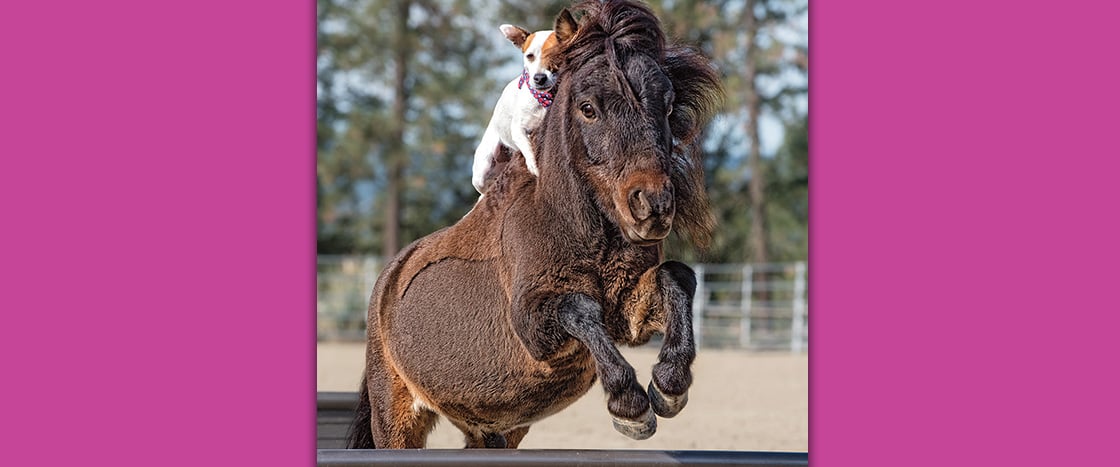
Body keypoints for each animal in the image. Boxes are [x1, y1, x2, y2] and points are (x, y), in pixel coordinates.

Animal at [470, 19, 568, 191]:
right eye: (529, 56)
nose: (539, 78)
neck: (545, 98)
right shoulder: (518, 129)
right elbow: (527, 145)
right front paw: (533, 165)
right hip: (483, 169)